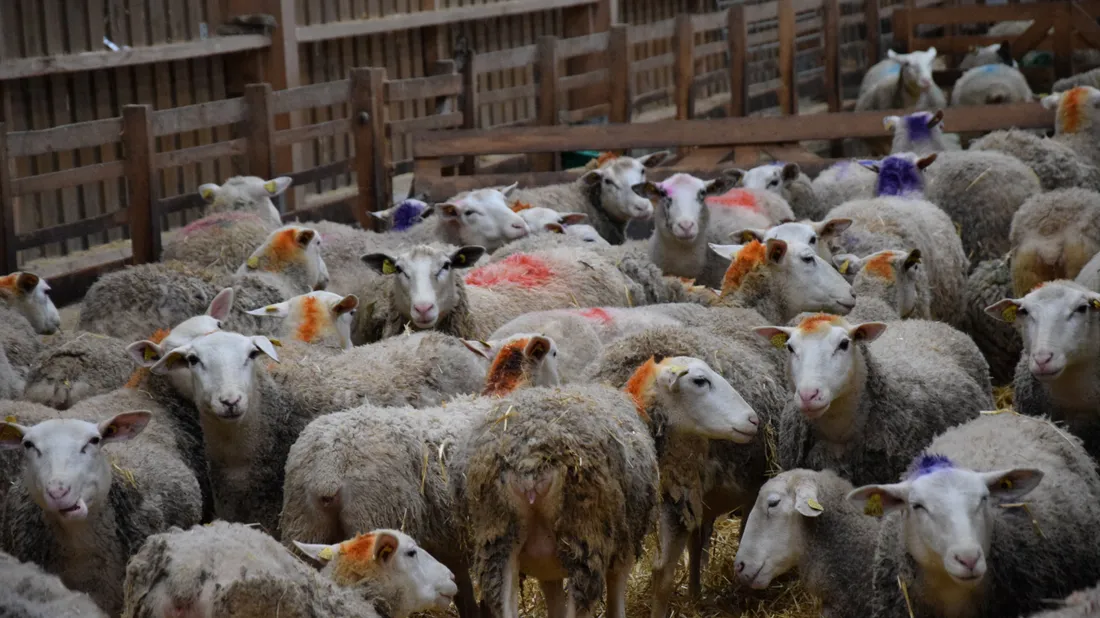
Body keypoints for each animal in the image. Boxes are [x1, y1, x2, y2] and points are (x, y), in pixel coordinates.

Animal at [280, 334, 562, 618]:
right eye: (555, 354)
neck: (507, 392)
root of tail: (330, 465)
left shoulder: (451, 543)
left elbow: (464, 591)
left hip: (304, 526)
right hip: (375, 515)